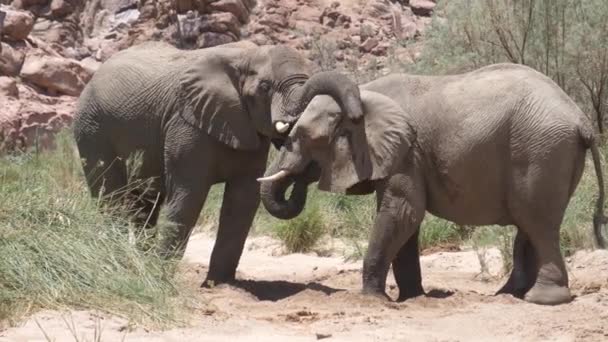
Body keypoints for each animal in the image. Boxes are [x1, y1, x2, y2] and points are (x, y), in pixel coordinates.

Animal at [73, 39, 364, 286]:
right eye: (265, 87)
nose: (358, 116)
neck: (245, 56)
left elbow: (243, 200)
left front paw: (219, 285)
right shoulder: (186, 123)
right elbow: (189, 196)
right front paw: (160, 275)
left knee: (145, 203)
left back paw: (137, 261)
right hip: (92, 128)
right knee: (111, 198)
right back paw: (121, 259)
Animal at [258, 63, 608, 304]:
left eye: (302, 138)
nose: (301, 175)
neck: (363, 91)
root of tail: (581, 119)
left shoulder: (406, 152)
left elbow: (403, 212)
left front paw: (373, 299)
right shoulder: (402, 156)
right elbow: (406, 220)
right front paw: (412, 299)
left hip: (542, 150)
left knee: (537, 221)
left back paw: (541, 299)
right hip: (550, 151)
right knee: (529, 225)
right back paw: (509, 295)